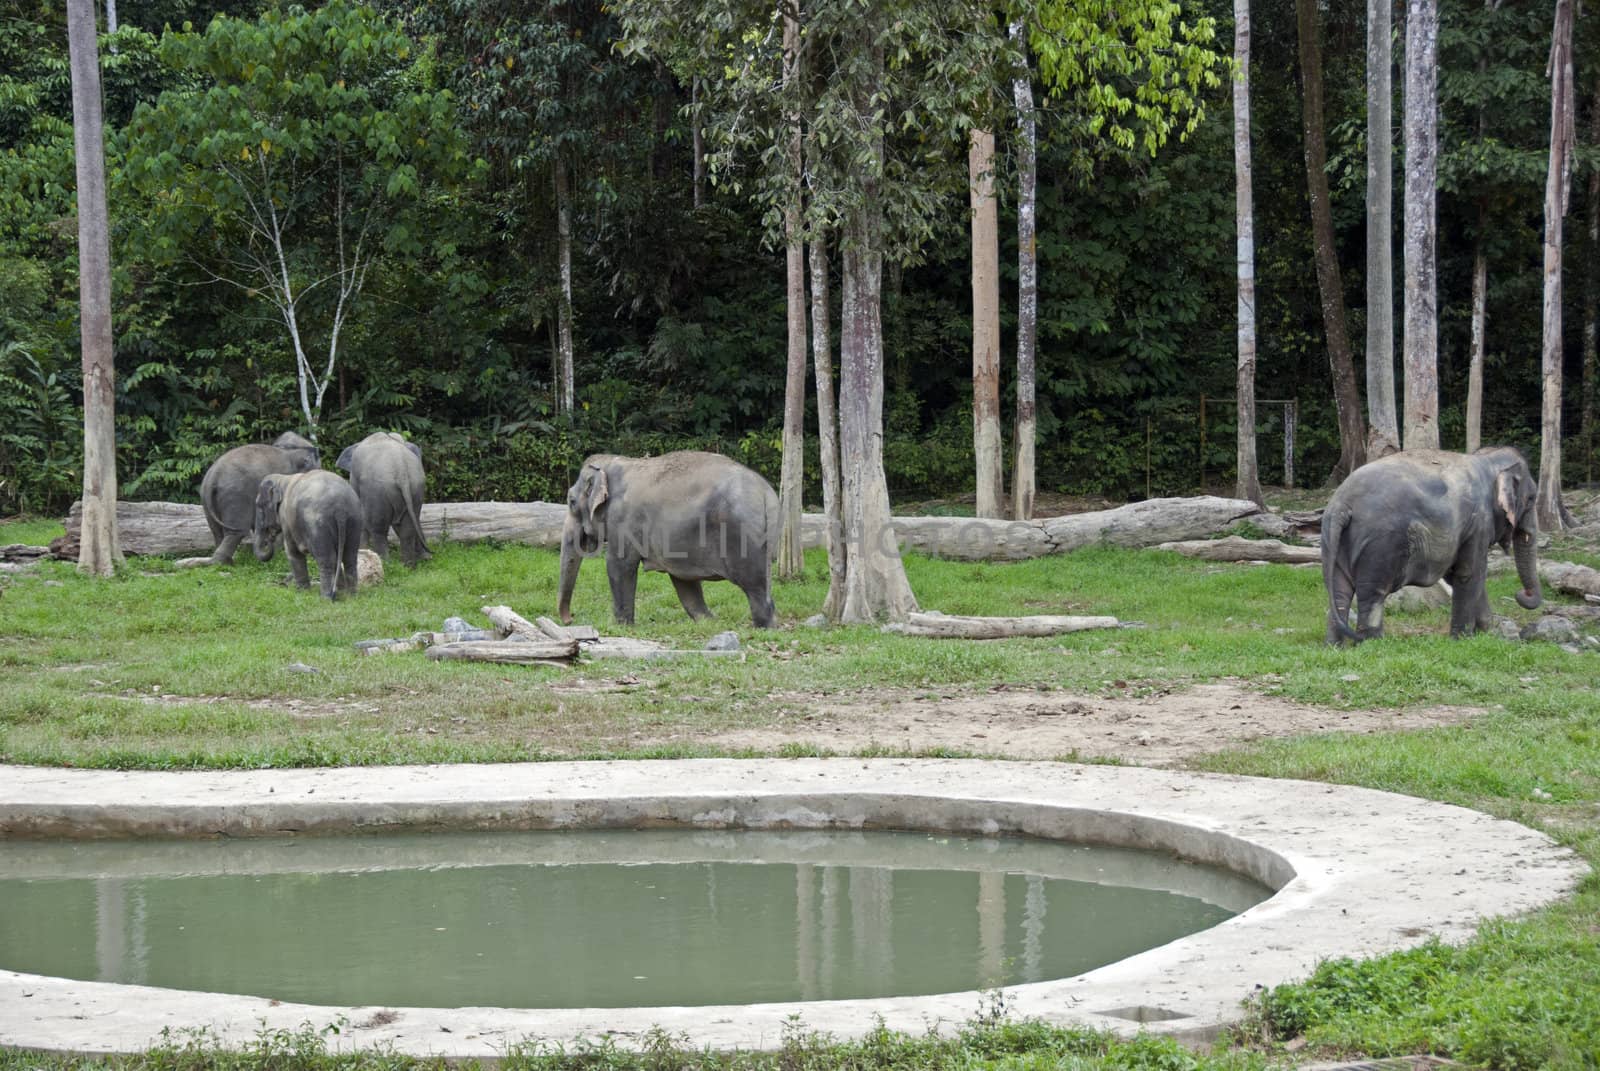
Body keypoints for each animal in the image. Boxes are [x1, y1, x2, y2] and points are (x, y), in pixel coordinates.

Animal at [195, 429, 316, 563]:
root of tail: (213, 475)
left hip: (206, 500)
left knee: (216, 531)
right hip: (235, 497)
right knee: (236, 532)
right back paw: (223, 563)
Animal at [254, 470, 364, 601]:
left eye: (259, 505)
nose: (270, 538)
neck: (282, 479)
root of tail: (340, 508)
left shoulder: (287, 520)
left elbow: (293, 552)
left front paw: (302, 593)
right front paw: (341, 592)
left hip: (318, 525)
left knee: (327, 559)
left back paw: (326, 598)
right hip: (354, 520)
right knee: (349, 557)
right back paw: (351, 596)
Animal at [334, 429, 428, 563]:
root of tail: (401, 470)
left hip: (378, 491)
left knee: (378, 528)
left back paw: (385, 562)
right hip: (415, 487)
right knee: (407, 528)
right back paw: (408, 564)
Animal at [556, 448, 780, 627]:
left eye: (571, 501)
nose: (570, 619)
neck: (613, 463)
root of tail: (765, 492)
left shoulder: (623, 521)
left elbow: (619, 565)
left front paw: (622, 626)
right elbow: (683, 581)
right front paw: (707, 623)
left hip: (742, 536)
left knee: (754, 586)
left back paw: (763, 627)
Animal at [1318, 445, 1542, 643]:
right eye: (1531, 499)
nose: (1522, 594)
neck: (1487, 459)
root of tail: (1341, 504)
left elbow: (1457, 575)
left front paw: (1490, 633)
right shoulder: (1478, 523)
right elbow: (1469, 573)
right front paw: (1463, 640)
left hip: (1333, 540)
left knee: (1339, 592)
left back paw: (1334, 646)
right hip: (1379, 544)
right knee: (1373, 594)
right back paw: (1372, 644)